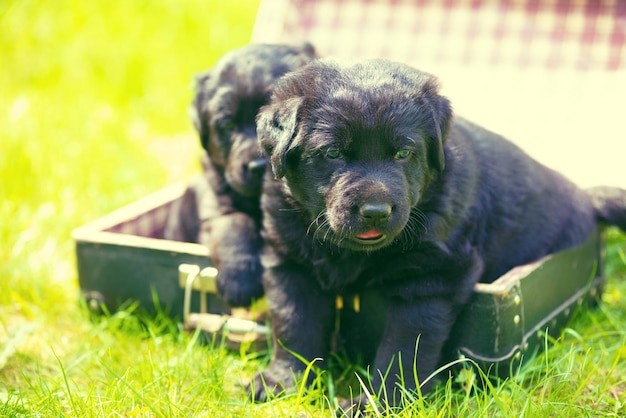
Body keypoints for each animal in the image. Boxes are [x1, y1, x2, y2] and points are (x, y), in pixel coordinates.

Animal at [246, 58, 624, 408]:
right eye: (333, 153)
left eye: (403, 153)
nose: (376, 211)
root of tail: (588, 199)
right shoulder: (290, 263)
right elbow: (294, 324)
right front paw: (283, 382)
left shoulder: (431, 277)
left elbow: (402, 350)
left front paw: (381, 404)